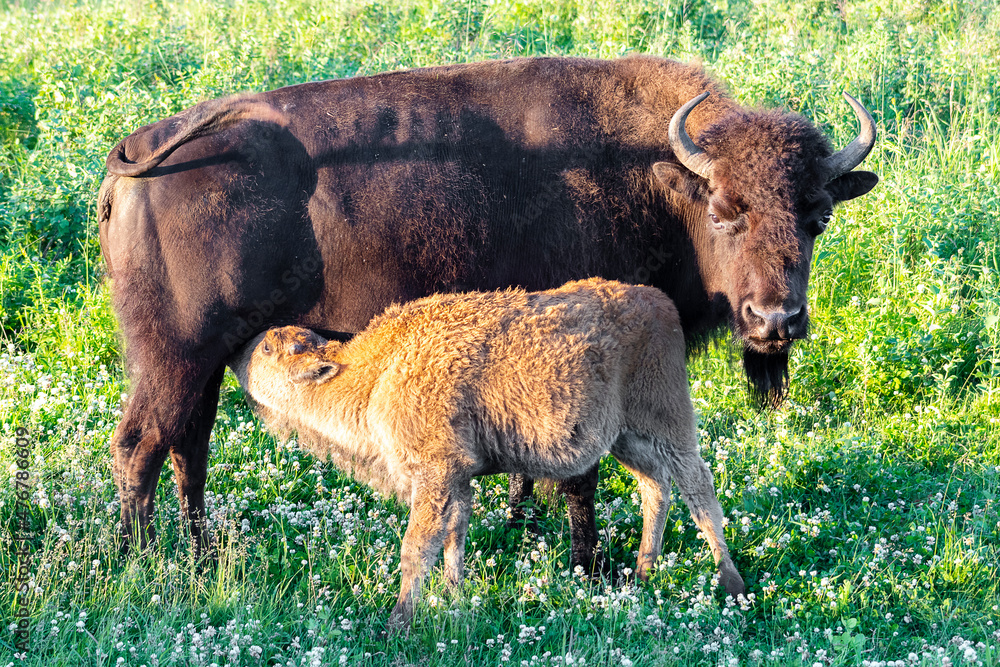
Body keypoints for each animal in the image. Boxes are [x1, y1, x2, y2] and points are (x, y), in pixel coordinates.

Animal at [97, 55, 877, 571]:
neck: (657, 179)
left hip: (201, 359)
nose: (775, 321)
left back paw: (199, 554)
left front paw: (521, 521)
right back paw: (140, 564)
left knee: (188, 443)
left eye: (818, 216)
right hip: (176, 353)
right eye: (724, 212)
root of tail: (134, 152)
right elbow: (581, 471)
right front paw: (587, 565)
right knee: (143, 441)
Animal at [229, 278, 745, 627]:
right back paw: (643, 572)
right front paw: (455, 600)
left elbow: (417, 546)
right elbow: (454, 538)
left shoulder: (435, 474)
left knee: (699, 490)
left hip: (668, 423)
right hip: (626, 439)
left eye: (272, 349)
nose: (238, 349)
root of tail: (660, 301)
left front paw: (397, 623)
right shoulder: (457, 480)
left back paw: (731, 583)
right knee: (656, 488)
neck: (376, 373)